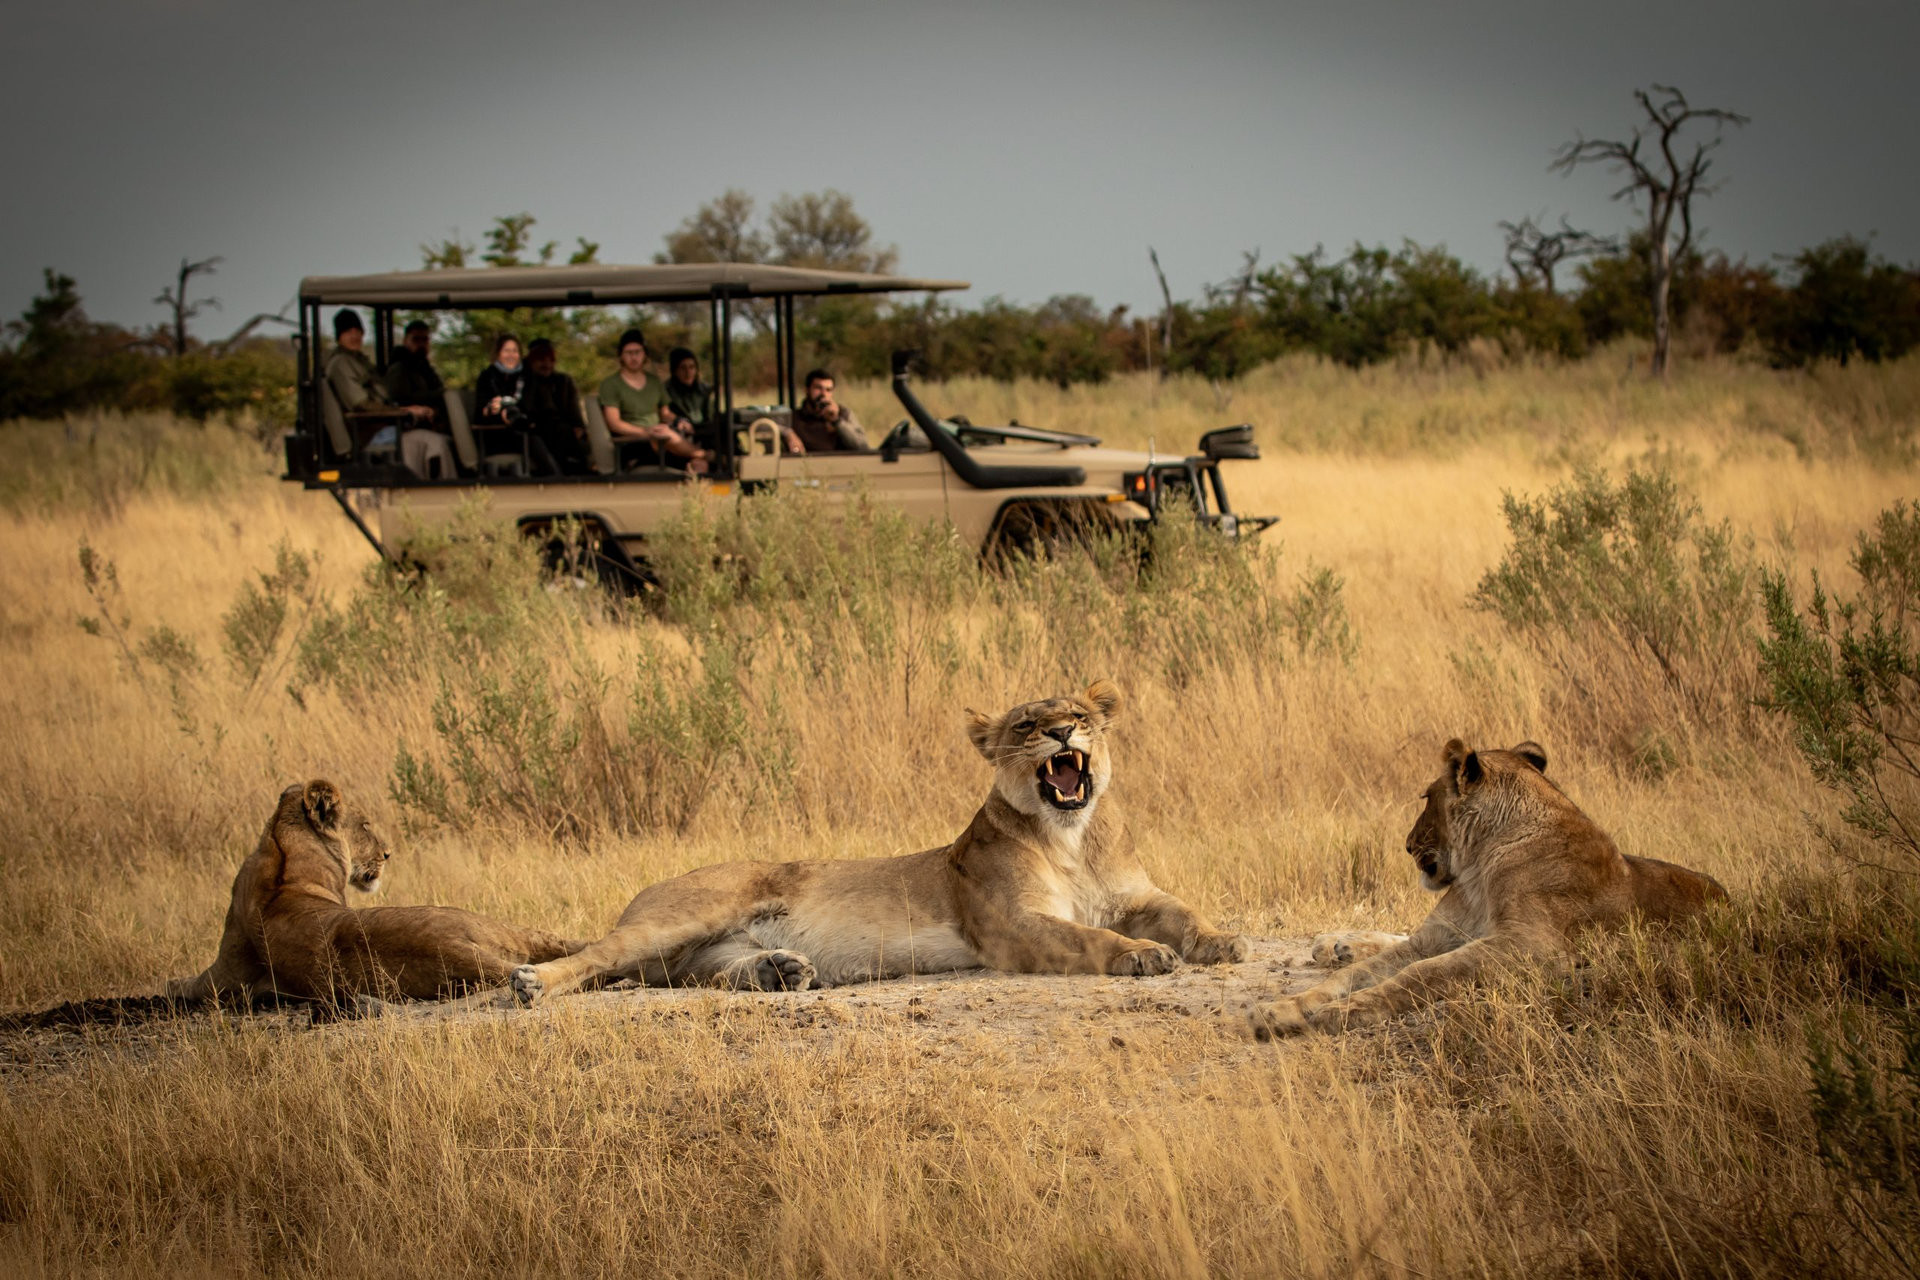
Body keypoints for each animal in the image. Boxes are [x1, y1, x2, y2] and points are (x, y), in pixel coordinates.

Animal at [169, 779, 583, 1011]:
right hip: (499, 927)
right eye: (366, 824)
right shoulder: (222, 974)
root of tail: (452, 947)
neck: (281, 852)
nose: (387, 853)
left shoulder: (224, 974)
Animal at [509, 680, 1247, 1005]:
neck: (1072, 836)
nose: (1063, 733)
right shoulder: (1012, 925)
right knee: (598, 958)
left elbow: (1185, 912)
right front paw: (1143, 955)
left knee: (693, 974)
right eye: (1026, 724)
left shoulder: (1137, 894)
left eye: (1081, 715)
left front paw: (1223, 942)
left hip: (702, 950)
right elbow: (1091, 937)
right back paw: (530, 983)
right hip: (681, 915)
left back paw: (780, 973)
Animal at [1248, 738, 1727, 1039]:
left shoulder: (1532, 944)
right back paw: (1337, 944)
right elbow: (1358, 974)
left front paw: (1339, 1013)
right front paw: (1284, 1009)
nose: (1407, 844)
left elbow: (1423, 974)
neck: (1479, 865)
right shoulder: (1435, 937)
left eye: (1427, 798)